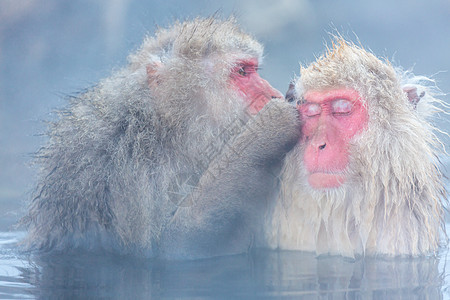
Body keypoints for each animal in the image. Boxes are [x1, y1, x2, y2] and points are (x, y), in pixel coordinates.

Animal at [22, 17, 300, 258]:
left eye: (253, 70)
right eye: (242, 72)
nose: (274, 94)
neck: (166, 131)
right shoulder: (126, 168)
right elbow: (172, 247)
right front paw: (270, 125)